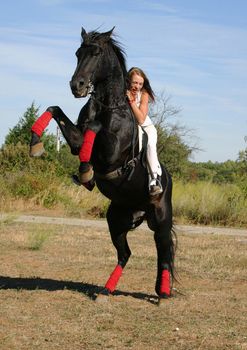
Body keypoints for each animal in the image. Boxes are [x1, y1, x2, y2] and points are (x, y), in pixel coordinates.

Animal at [29, 27, 177, 300]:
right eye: (78, 53)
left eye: (96, 53)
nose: (77, 86)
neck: (108, 105)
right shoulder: (76, 140)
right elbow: (55, 110)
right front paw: (36, 144)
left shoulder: (111, 152)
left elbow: (95, 127)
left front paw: (86, 172)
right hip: (116, 221)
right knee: (125, 253)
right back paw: (107, 289)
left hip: (161, 219)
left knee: (163, 250)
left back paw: (162, 293)